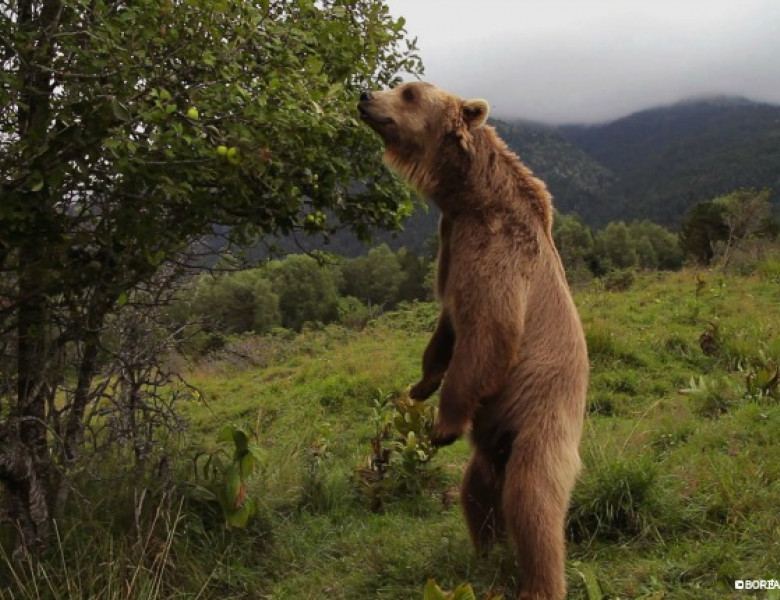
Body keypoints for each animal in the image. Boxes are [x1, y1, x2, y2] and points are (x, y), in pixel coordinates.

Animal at [358, 83, 584, 600]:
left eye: (408, 91)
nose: (364, 96)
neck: (468, 200)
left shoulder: (498, 255)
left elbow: (487, 334)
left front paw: (443, 425)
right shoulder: (451, 247)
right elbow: (447, 326)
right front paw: (419, 386)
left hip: (542, 415)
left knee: (532, 498)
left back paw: (538, 583)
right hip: (493, 442)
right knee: (476, 491)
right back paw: (485, 551)